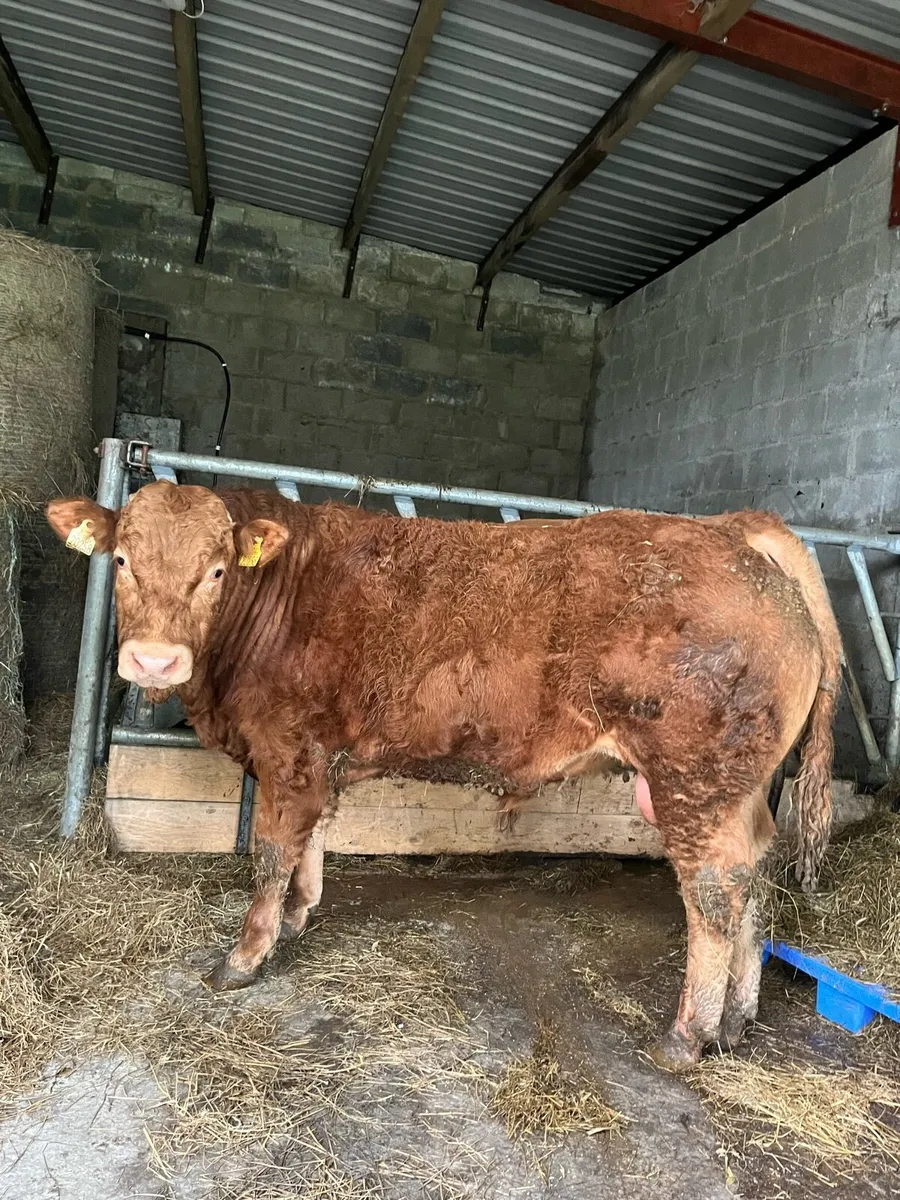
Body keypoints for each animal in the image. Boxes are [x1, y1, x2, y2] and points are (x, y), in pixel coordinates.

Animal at [47, 482, 840, 1071]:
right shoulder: (316, 758)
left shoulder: (287, 751)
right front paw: (301, 916)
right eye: (123, 560)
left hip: (693, 781)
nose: (154, 661)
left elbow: (272, 853)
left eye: (215, 571)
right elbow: (311, 842)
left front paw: (246, 955)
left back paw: (686, 1036)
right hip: (740, 790)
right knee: (756, 876)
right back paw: (736, 1020)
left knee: (715, 893)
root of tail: (733, 532)